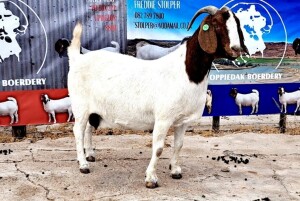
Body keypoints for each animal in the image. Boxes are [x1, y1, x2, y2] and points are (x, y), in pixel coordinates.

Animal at [68, 5, 248, 188]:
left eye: (237, 24)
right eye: (216, 24)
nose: (236, 49)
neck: (186, 72)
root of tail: (77, 59)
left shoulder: (182, 120)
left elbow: (179, 145)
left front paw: (175, 171)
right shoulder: (163, 118)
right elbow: (159, 148)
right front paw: (151, 179)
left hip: (93, 109)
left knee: (88, 128)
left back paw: (90, 155)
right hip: (80, 106)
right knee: (78, 130)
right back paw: (83, 164)